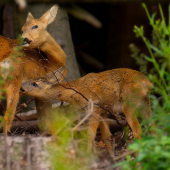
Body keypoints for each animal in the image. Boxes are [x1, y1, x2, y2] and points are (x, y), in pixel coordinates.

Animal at [0, 4, 67, 135]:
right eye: (21, 30)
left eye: (35, 26)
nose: (23, 39)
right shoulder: (44, 89)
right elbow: (49, 121)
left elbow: (42, 123)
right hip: (14, 79)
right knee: (7, 118)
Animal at [20, 66, 153, 154]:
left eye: (35, 83)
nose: (21, 87)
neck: (75, 92)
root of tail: (147, 83)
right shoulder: (103, 112)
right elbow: (106, 136)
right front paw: (111, 157)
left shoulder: (94, 107)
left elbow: (90, 134)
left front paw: (89, 155)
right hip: (146, 103)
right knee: (153, 124)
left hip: (129, 102)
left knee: (137, 130)